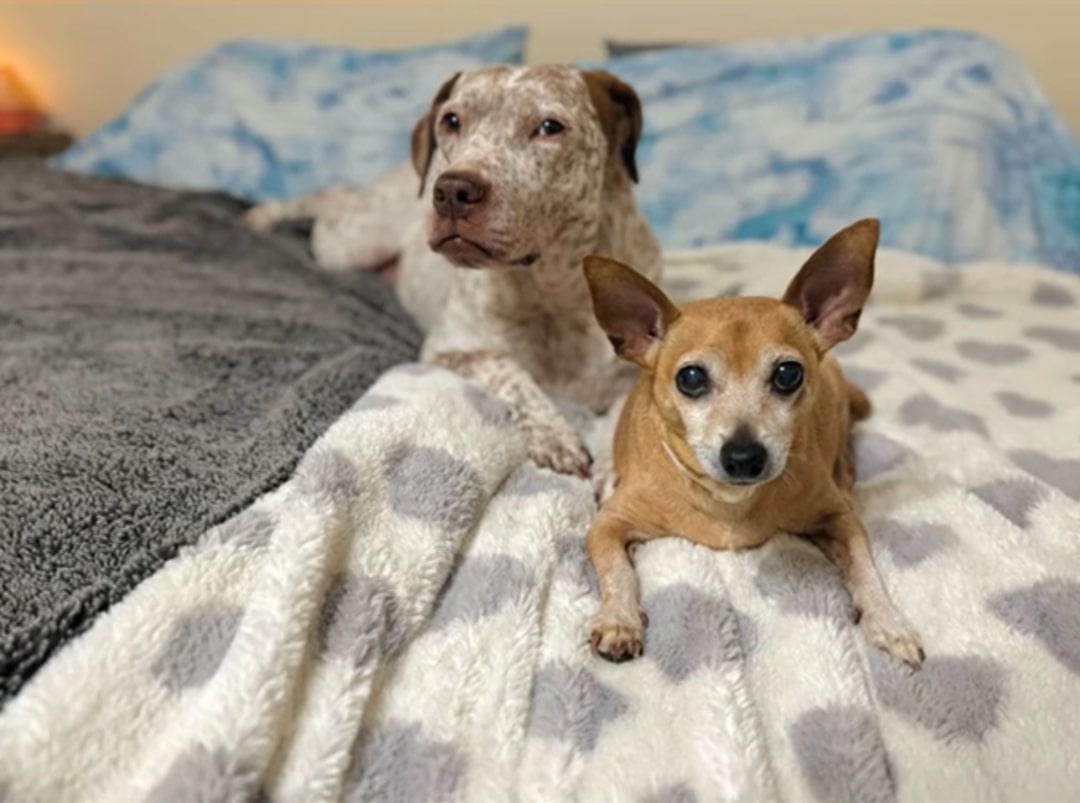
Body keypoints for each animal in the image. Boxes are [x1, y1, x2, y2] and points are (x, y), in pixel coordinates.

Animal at [247, 65, 660, 483]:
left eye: (550, 126)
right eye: (452, 121)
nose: (451, 190)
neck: (552, 295)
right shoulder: (445, 351)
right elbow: (504, 365)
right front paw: (552, 433)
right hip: (346, 246)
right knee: (332, 199)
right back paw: (262, 216)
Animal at [578, 219, 924, 669]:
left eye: (788, 374)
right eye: (690, 378)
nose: (744, 457)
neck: (729, 502)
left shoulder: (840, 520)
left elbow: (865, 567)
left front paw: (888, 620)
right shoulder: (607, 525)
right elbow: (617, 569)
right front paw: (619, 619)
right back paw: (604, 470)